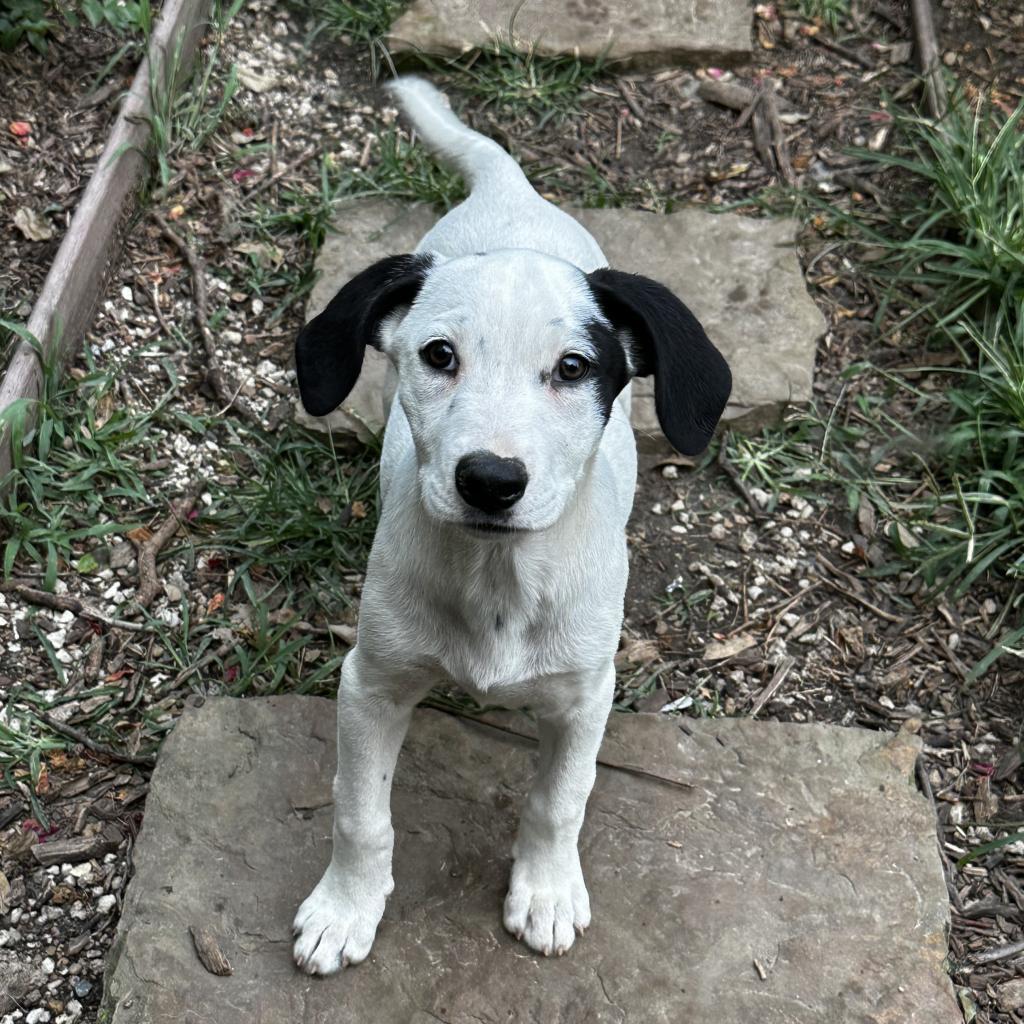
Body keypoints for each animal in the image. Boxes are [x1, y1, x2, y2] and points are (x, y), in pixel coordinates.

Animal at [292, 74, 733, 974]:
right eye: (438, 356)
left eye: (573, 368)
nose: (490, 480)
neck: (498, 576)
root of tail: (512, 193)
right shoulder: (371, 683)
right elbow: (360, 811)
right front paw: (345, 907)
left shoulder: (585, 696)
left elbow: (560, 800)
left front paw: (548, 891)